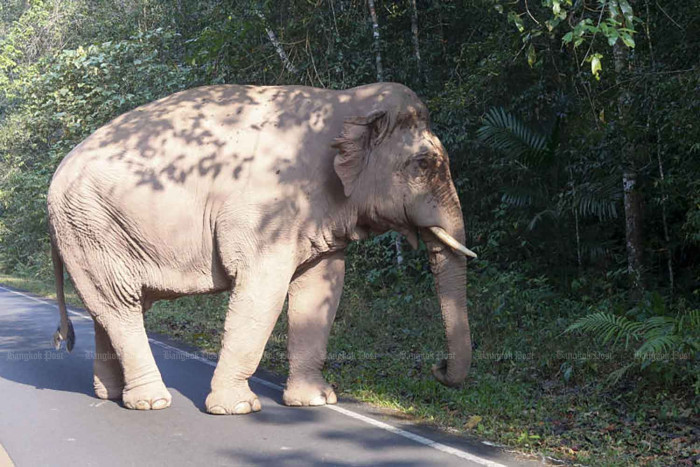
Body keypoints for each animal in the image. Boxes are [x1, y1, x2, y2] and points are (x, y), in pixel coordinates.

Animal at [47, 82, 477, 414]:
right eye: (423, 164)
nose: (437, 368)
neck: (344, 102)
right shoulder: (262, 211)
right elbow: (262, 291)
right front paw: (237, 408)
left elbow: (321, 289)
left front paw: (315, 402)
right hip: (89, 227)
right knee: (120, 306)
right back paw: (153, 403)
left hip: (96, 232)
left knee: (112, 307)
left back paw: (113, 395)